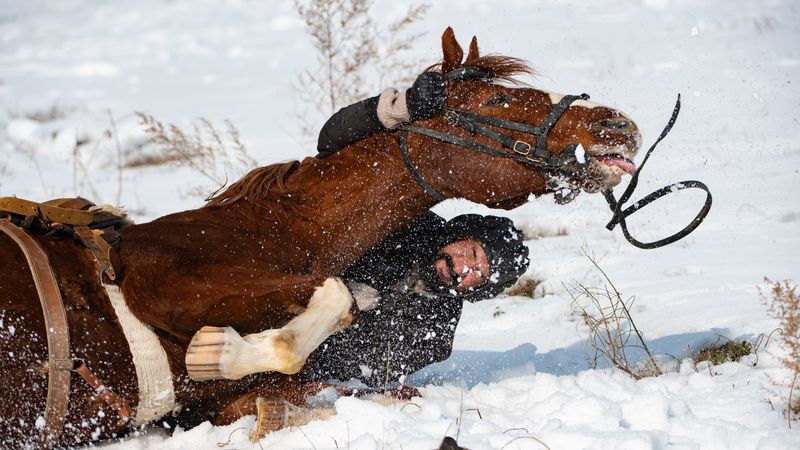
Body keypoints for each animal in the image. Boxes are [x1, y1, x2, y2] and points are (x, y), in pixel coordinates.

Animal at [0, 28, 640, 446]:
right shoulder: (169, 286)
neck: (259, 234)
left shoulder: (218, 401)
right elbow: (338, 297)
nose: (620, 125)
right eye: (498, 97)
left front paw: (224, 354)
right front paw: (221, 347)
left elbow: (297, 388)